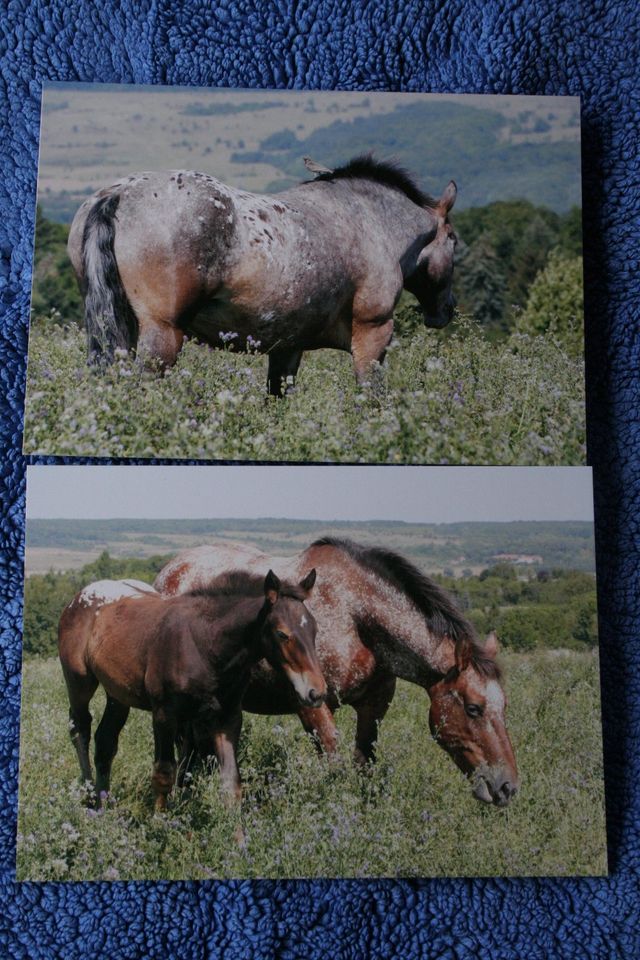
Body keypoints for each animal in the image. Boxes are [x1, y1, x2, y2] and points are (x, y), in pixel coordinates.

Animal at [58, 568, 324, 808]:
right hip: (79, 682)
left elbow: (231, 783)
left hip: (118, 694)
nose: (316, 692)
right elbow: (164, 773)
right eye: (282, 634)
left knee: (105, 741)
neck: (205, 644)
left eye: (314, 629)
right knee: (80, 727)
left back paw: (103, 803)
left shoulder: (227, 717)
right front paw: (160, 823)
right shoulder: (164, 714)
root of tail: (79, 597)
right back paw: (89, 795)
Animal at [67, 156, 458, 396]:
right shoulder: (373, 336)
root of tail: (118, 194)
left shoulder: (287, 349)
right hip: (162, 335)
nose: (446, 311)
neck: (370, 220)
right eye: (454, 239)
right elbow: (371, 397)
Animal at [155, 536, 520, 808]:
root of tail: (170, 571)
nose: (507, 787)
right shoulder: (311, 705)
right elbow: (335, 765)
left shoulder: (373, 707)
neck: (355, 614)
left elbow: (363, 765)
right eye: (473, 708)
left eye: (504, 706)